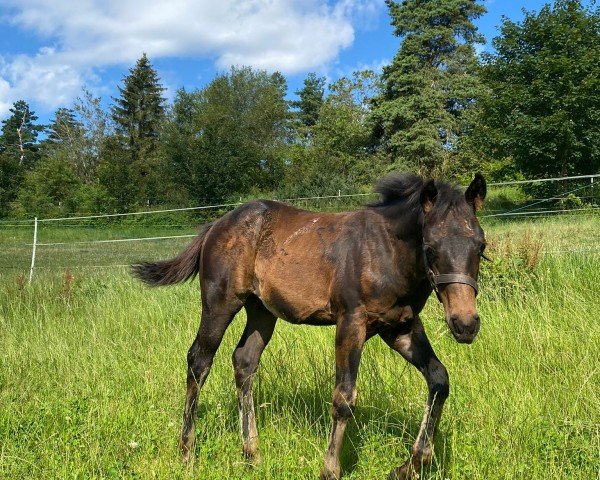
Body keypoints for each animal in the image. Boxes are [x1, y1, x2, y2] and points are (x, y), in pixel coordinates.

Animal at [132, 173, 488, 480]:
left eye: (481, 247)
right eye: (430, 248)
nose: (465, 323)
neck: (388, 251)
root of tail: (216, 225)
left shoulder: (400, 327)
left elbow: (439, 379)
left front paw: (408, 466)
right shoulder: (351, 322)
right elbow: (344, 398)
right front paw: (329, 470)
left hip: (261, 311)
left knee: (244, 360)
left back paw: (252, 454)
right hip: (220, 302)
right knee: (199, 361)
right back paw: (187, 453)